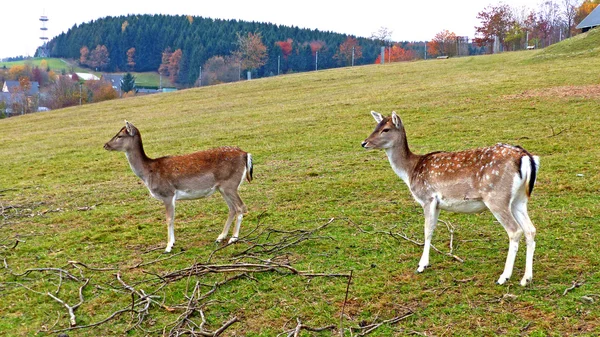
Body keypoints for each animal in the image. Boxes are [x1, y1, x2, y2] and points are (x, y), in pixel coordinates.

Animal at [104, 122, 252, 251]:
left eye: (120, 136)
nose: (105, 145)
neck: (148, 173)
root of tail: (246, 154)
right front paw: (172, 243)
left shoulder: (168, 194)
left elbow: (169, 219)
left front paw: (169, 246)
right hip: (222, 188)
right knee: (232, 208)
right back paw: (220, 237)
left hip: (230, 184)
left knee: (241, 206)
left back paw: (233, 238)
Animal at [364, 111, 540, 284]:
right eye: (376, 126)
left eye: (386, 129)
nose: (364, 143)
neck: (410, 171)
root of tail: (525, 157)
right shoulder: (437, 203)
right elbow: (432, 229)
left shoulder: (427, 197)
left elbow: (427, 230)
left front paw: (421, 265)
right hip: (519, 200)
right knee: (530, 229)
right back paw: (526, 278)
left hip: (497, 197)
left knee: (515, 230)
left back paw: (504, 277)